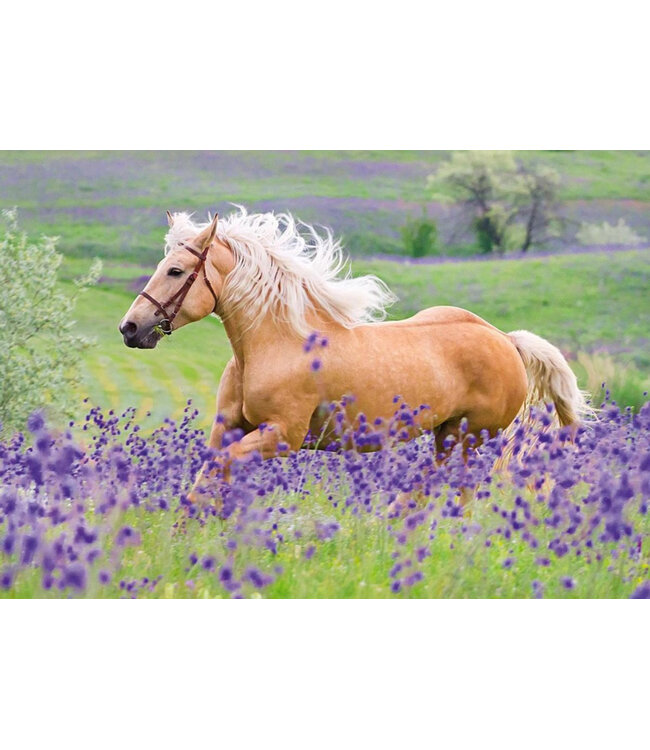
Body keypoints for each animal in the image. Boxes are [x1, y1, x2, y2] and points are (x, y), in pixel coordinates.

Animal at [119, 207, 591, 503]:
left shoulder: (282, 436)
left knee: (453, 487)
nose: (130, 328)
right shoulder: (230, 428)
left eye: (175, 271)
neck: (275, 344)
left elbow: (220, 473)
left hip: (470, 437)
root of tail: (505, 339)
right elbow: (206, 480)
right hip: (447, 434)